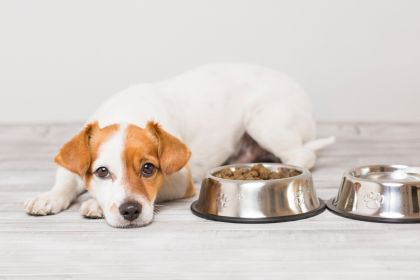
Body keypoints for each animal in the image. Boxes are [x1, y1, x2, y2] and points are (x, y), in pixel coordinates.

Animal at [25, 63, 334, 228]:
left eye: (149, 169)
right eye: (102, 171)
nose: (130, 211)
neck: (127, 111)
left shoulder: (180, 180)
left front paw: (94, 204)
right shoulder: (74, 163)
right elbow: (66, 180)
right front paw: (48, 197)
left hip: (264, 122)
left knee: (302, 153)